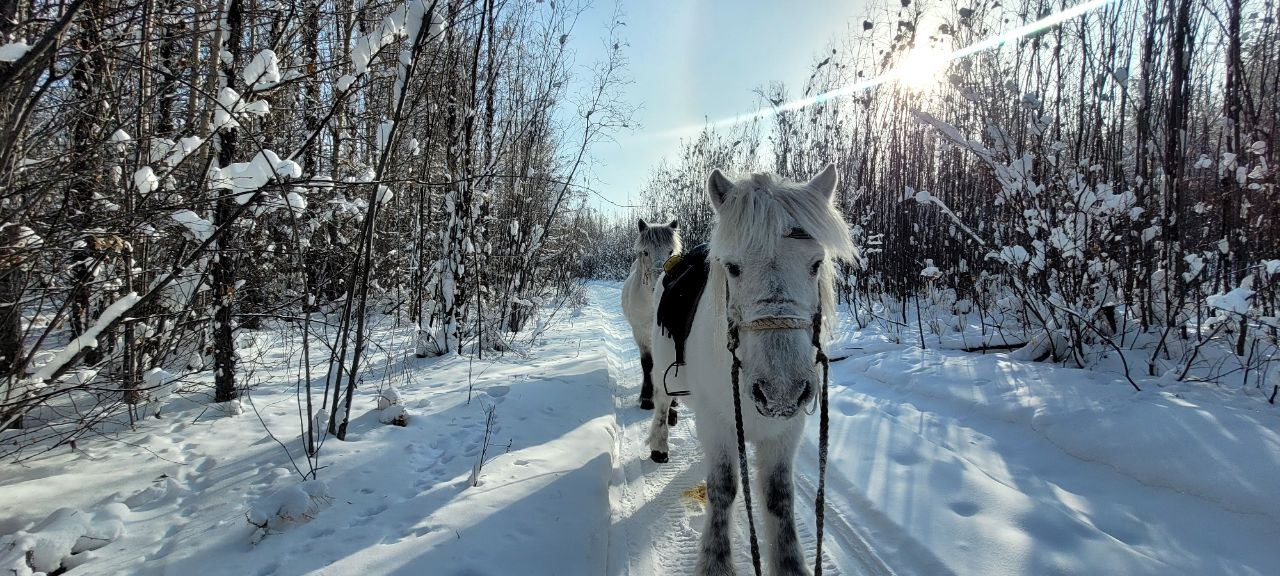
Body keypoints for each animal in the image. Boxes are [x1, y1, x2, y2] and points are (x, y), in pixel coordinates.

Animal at [619, 218, 680, 412]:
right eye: (646, 252)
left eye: (671, 251)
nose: (661, 284)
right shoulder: (641, 333)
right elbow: (647, 364)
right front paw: (646, 399)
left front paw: (673, 400)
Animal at [650, 163, 849, 573]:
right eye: (733, 267)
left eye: (816, 264)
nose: (781, 392)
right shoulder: (718, 423)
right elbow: (723, 489)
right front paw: (715, 562)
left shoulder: (785, 431)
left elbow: (779, 497)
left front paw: (789, 564)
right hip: (663, 377)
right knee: (661, 406)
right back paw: (659, 446)